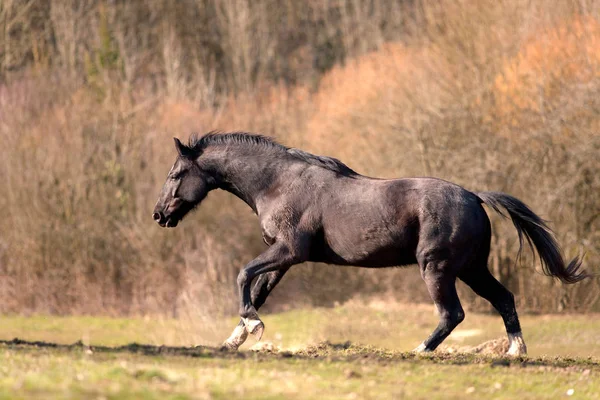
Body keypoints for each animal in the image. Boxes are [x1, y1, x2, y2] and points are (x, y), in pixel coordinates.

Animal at [151, 130, 584, 354]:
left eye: (175, 175)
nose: (159, 215)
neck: (277, 183)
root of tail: (475, 198)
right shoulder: (285, 259)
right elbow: (257, 290)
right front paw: (235, 338)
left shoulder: (289, 250)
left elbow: (243, 275)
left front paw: (252, 327)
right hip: (472, 268)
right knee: (504, 298)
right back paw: (515, 352)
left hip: (438, 268)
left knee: (453, 314)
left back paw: (420, 351)